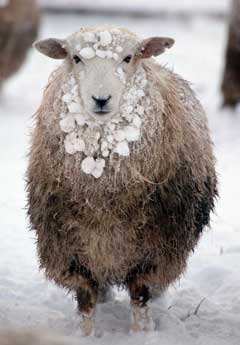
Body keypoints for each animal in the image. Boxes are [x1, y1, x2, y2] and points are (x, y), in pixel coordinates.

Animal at [27, 25, 218, 334]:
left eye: (129, 57)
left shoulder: (155, 248)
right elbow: (86, 300)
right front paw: (86, 335)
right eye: (76, 57)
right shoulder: (68, 249)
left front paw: (143, 332)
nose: (101, 99)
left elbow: (140, 297)